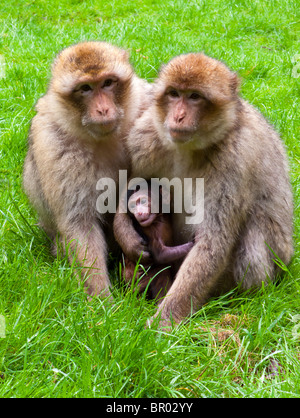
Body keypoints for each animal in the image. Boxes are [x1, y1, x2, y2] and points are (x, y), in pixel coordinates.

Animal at [22, 41, 152, 298]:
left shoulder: (145, 101)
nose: (102, 109)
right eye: (85, 88)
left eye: (108, 83)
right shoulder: (56, 144)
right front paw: (103, 301)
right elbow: (80, 223)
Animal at [113, 51, 294, 326]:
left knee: (253, 237)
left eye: (194, 97)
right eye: (174, 93)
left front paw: (161, 324)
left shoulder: (234, 159)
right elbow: (128, 191)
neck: (189, 149)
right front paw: (128, 237)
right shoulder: (144, 137)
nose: (178, 116)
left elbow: (213, 242)